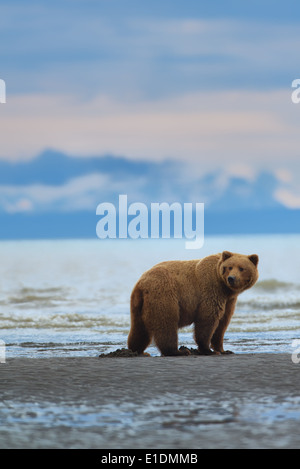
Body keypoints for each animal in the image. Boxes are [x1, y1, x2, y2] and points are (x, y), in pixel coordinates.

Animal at [126, 252, 258, 354]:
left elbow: (222, 324)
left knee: (139, 328)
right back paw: (178, 351)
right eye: (230, 267)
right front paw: (207, 350)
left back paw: (135, 351)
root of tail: (141, 284)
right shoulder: (211, 288)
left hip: (138, 304)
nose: (231, 278)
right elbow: (207, 320)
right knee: (166, 323)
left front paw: (223, 350)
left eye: (241, 268)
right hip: (163, 294)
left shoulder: (229, 301)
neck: (225, 289)